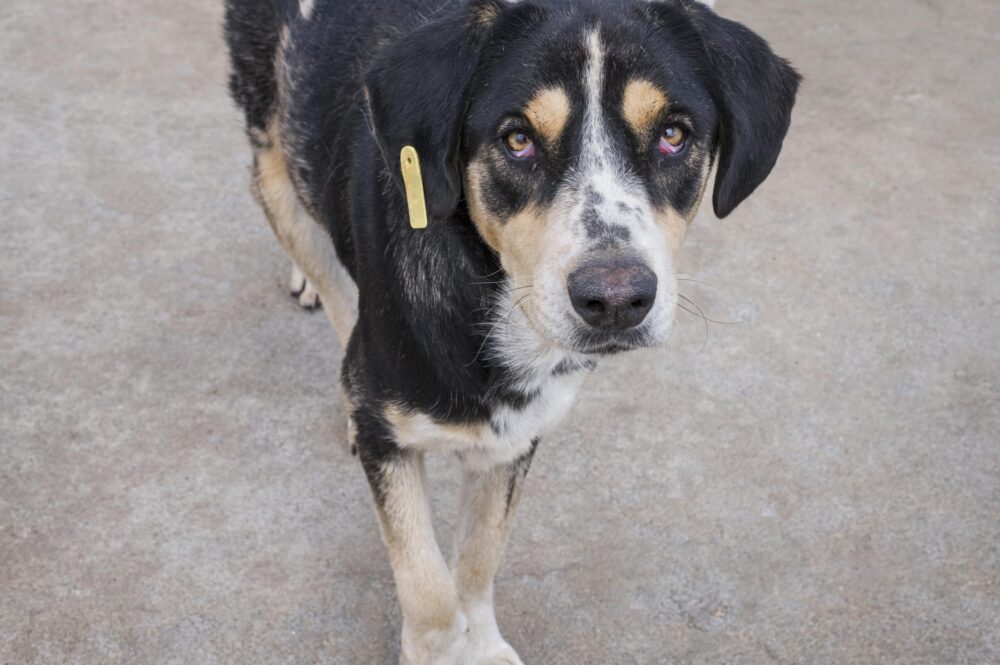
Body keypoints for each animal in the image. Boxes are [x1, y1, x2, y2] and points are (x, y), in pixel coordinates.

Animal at [225, 2, 796, 660]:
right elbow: (426, 584)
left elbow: (479, 557)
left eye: (673, 135)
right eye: (517, 140)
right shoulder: (389, 437)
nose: (616, 300)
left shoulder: (518, 434)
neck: (490, 300)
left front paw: (481, 643)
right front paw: (439, 651)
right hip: (275, 151)